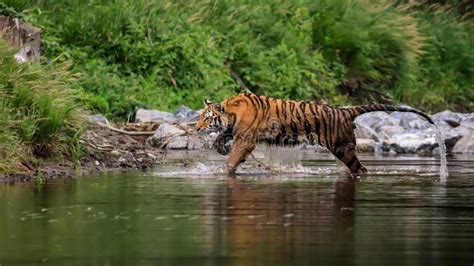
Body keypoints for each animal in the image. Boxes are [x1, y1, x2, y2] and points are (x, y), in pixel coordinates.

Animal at [194, 92, 436, 178]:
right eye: (200, 117)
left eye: (207, 118)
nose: (196, 128)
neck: (231, 111)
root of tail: (345, 110)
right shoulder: (234, 132)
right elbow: (221, 138)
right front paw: (220, 147)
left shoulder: (245, 140)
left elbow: (232, 159)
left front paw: (223, 169)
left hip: (342, 148)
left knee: (361, 169)